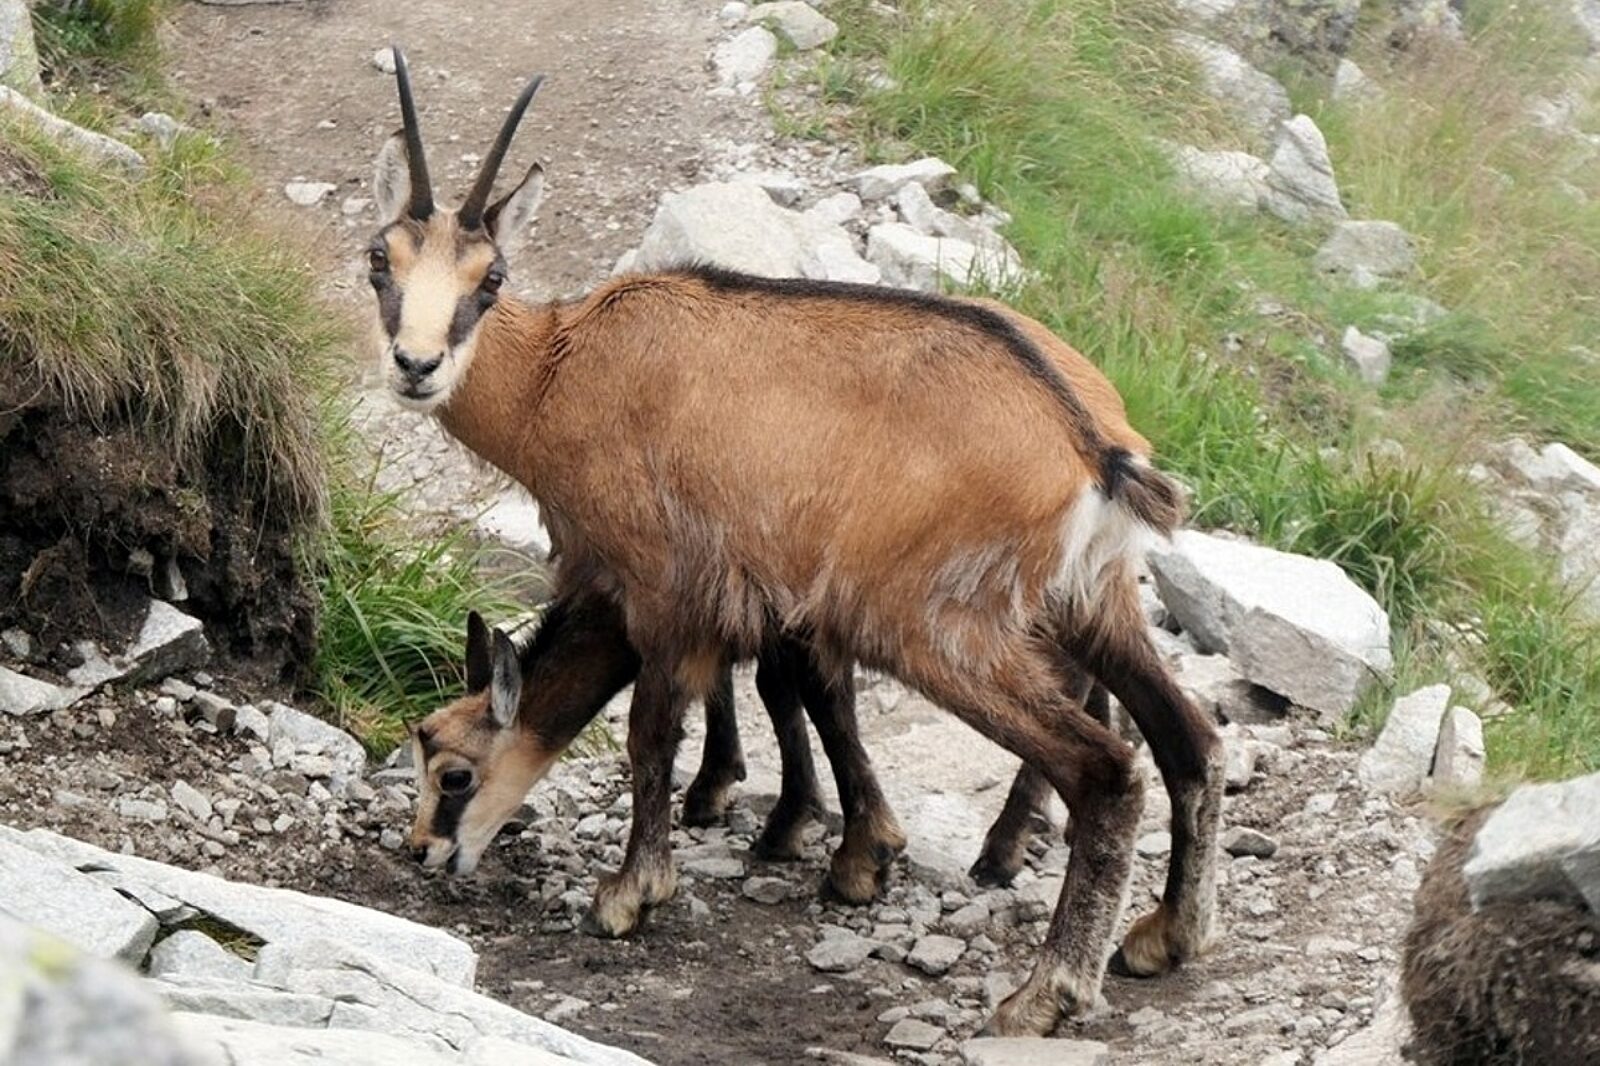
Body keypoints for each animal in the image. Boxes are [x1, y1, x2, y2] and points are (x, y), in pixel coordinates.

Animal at [374, 48, 1223, 1036]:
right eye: (379, 261)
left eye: (491, 277)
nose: (417, 366)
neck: (562, 368)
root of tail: (1093, 447)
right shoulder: (752, 595)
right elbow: (789, 698)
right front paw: (833, 846)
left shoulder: (669, 592)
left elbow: (655, 733)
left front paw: (631, 894)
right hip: (1091, 598)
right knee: (1189, 738)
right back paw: (1162, 937)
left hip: (938, 626)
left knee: (1106, 768)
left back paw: (1043, 991)